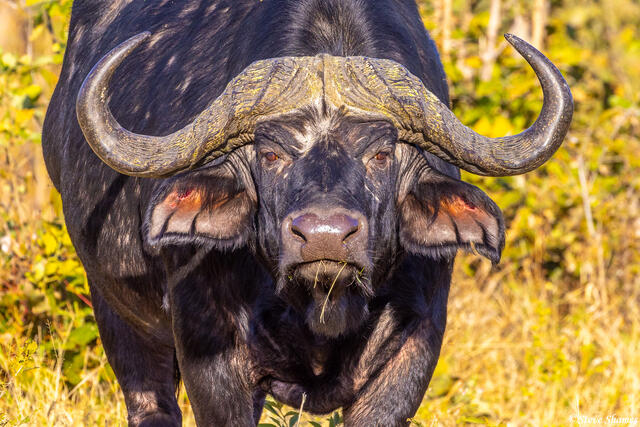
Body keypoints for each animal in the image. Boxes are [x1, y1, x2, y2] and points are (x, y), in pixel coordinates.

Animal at [42, 0, 572, 425]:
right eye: (271, 153)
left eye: (381, 153)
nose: (324, 235)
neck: (320, 307)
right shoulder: (211, 361)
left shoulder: (412, 354)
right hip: (118, 315)